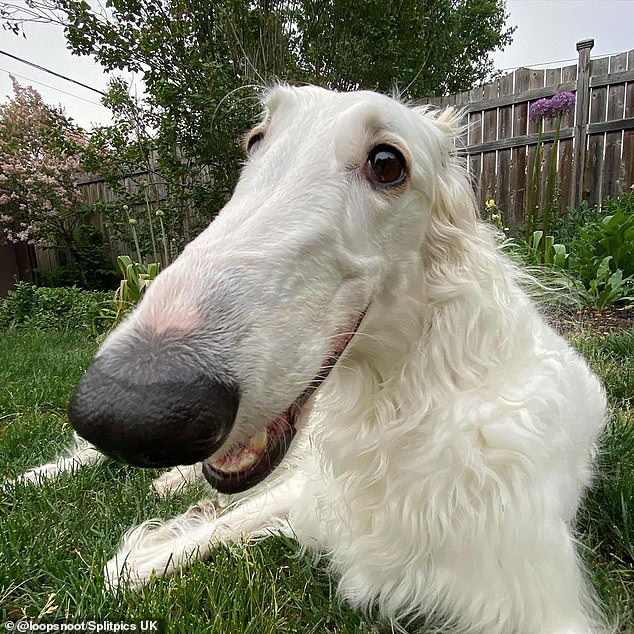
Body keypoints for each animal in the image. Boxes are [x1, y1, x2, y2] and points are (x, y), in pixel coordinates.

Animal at [18, 85, 608, 632]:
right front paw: (138, 557)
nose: (122, 411)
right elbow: (198, 535)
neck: (408, 404)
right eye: (255, 141)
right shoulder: (311, 489)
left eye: (387, 163)